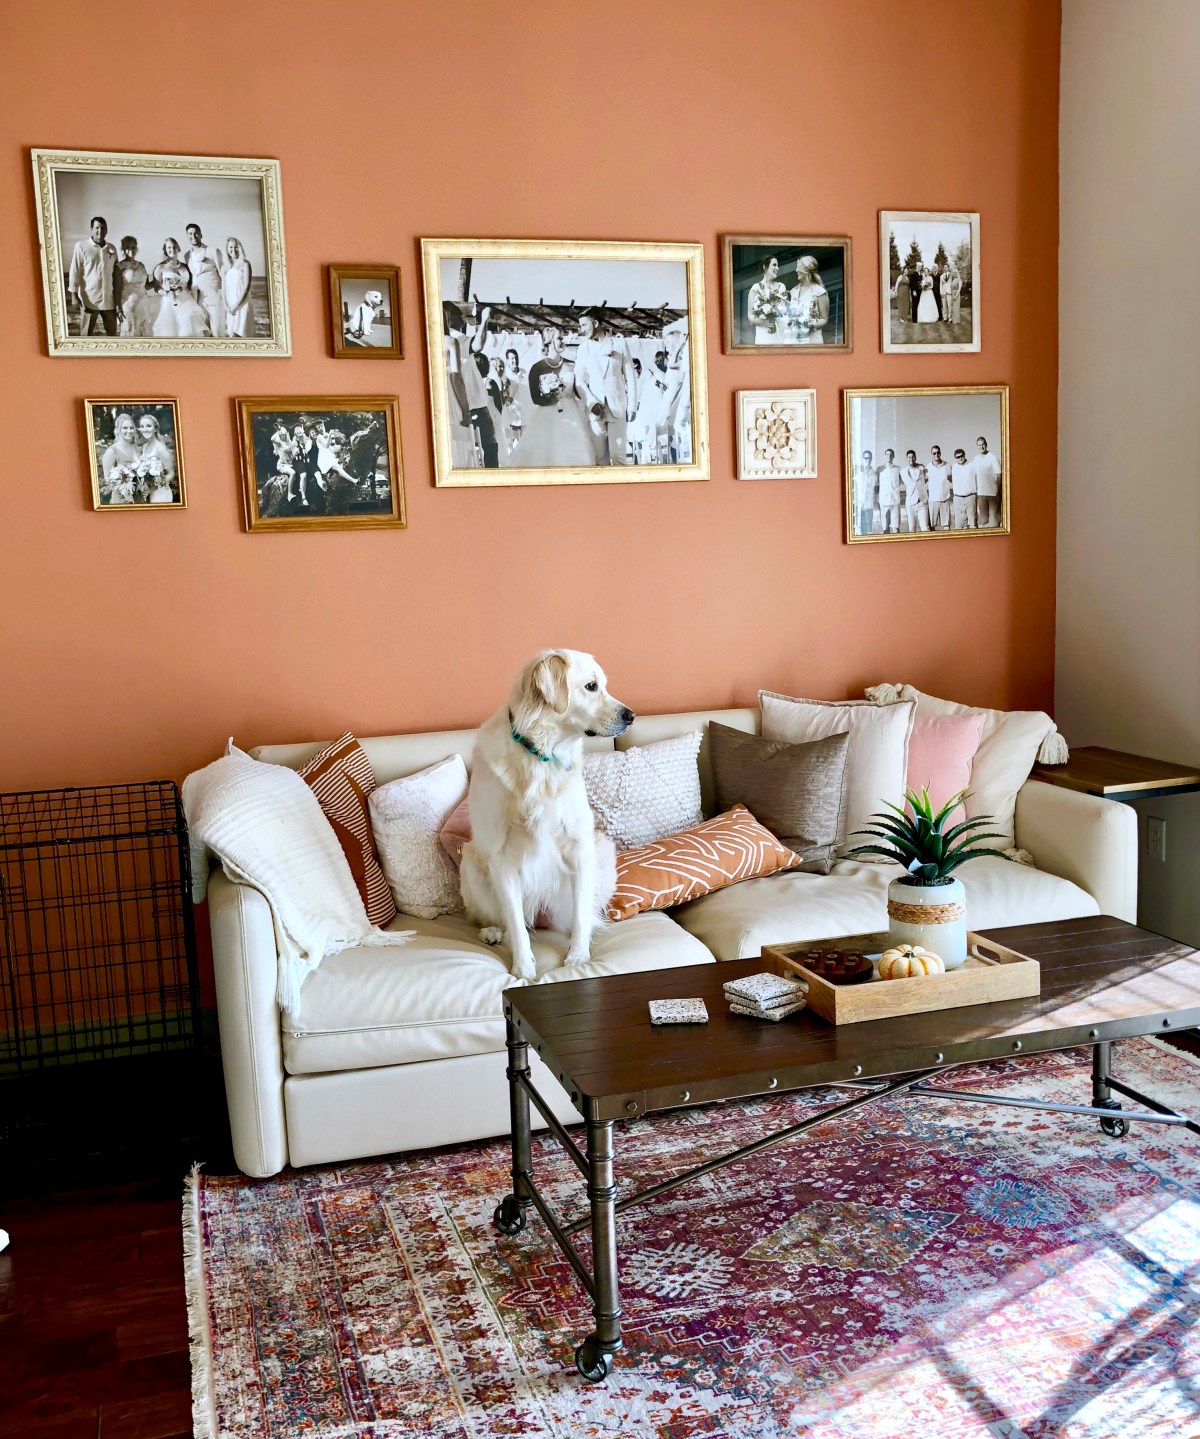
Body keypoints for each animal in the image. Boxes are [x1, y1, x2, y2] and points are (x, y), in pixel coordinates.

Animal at [454, 650, 630, 978]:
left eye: (603, 684)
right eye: (591, 686)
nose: (631, 715)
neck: (540, 758)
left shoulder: (579, 846)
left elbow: (581, 913)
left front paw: (578, 957)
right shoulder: (501, 857)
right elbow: (514, 920)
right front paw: (523, 968)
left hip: (601, 853)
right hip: (470, 862)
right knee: (505, 920)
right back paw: (493, 932)